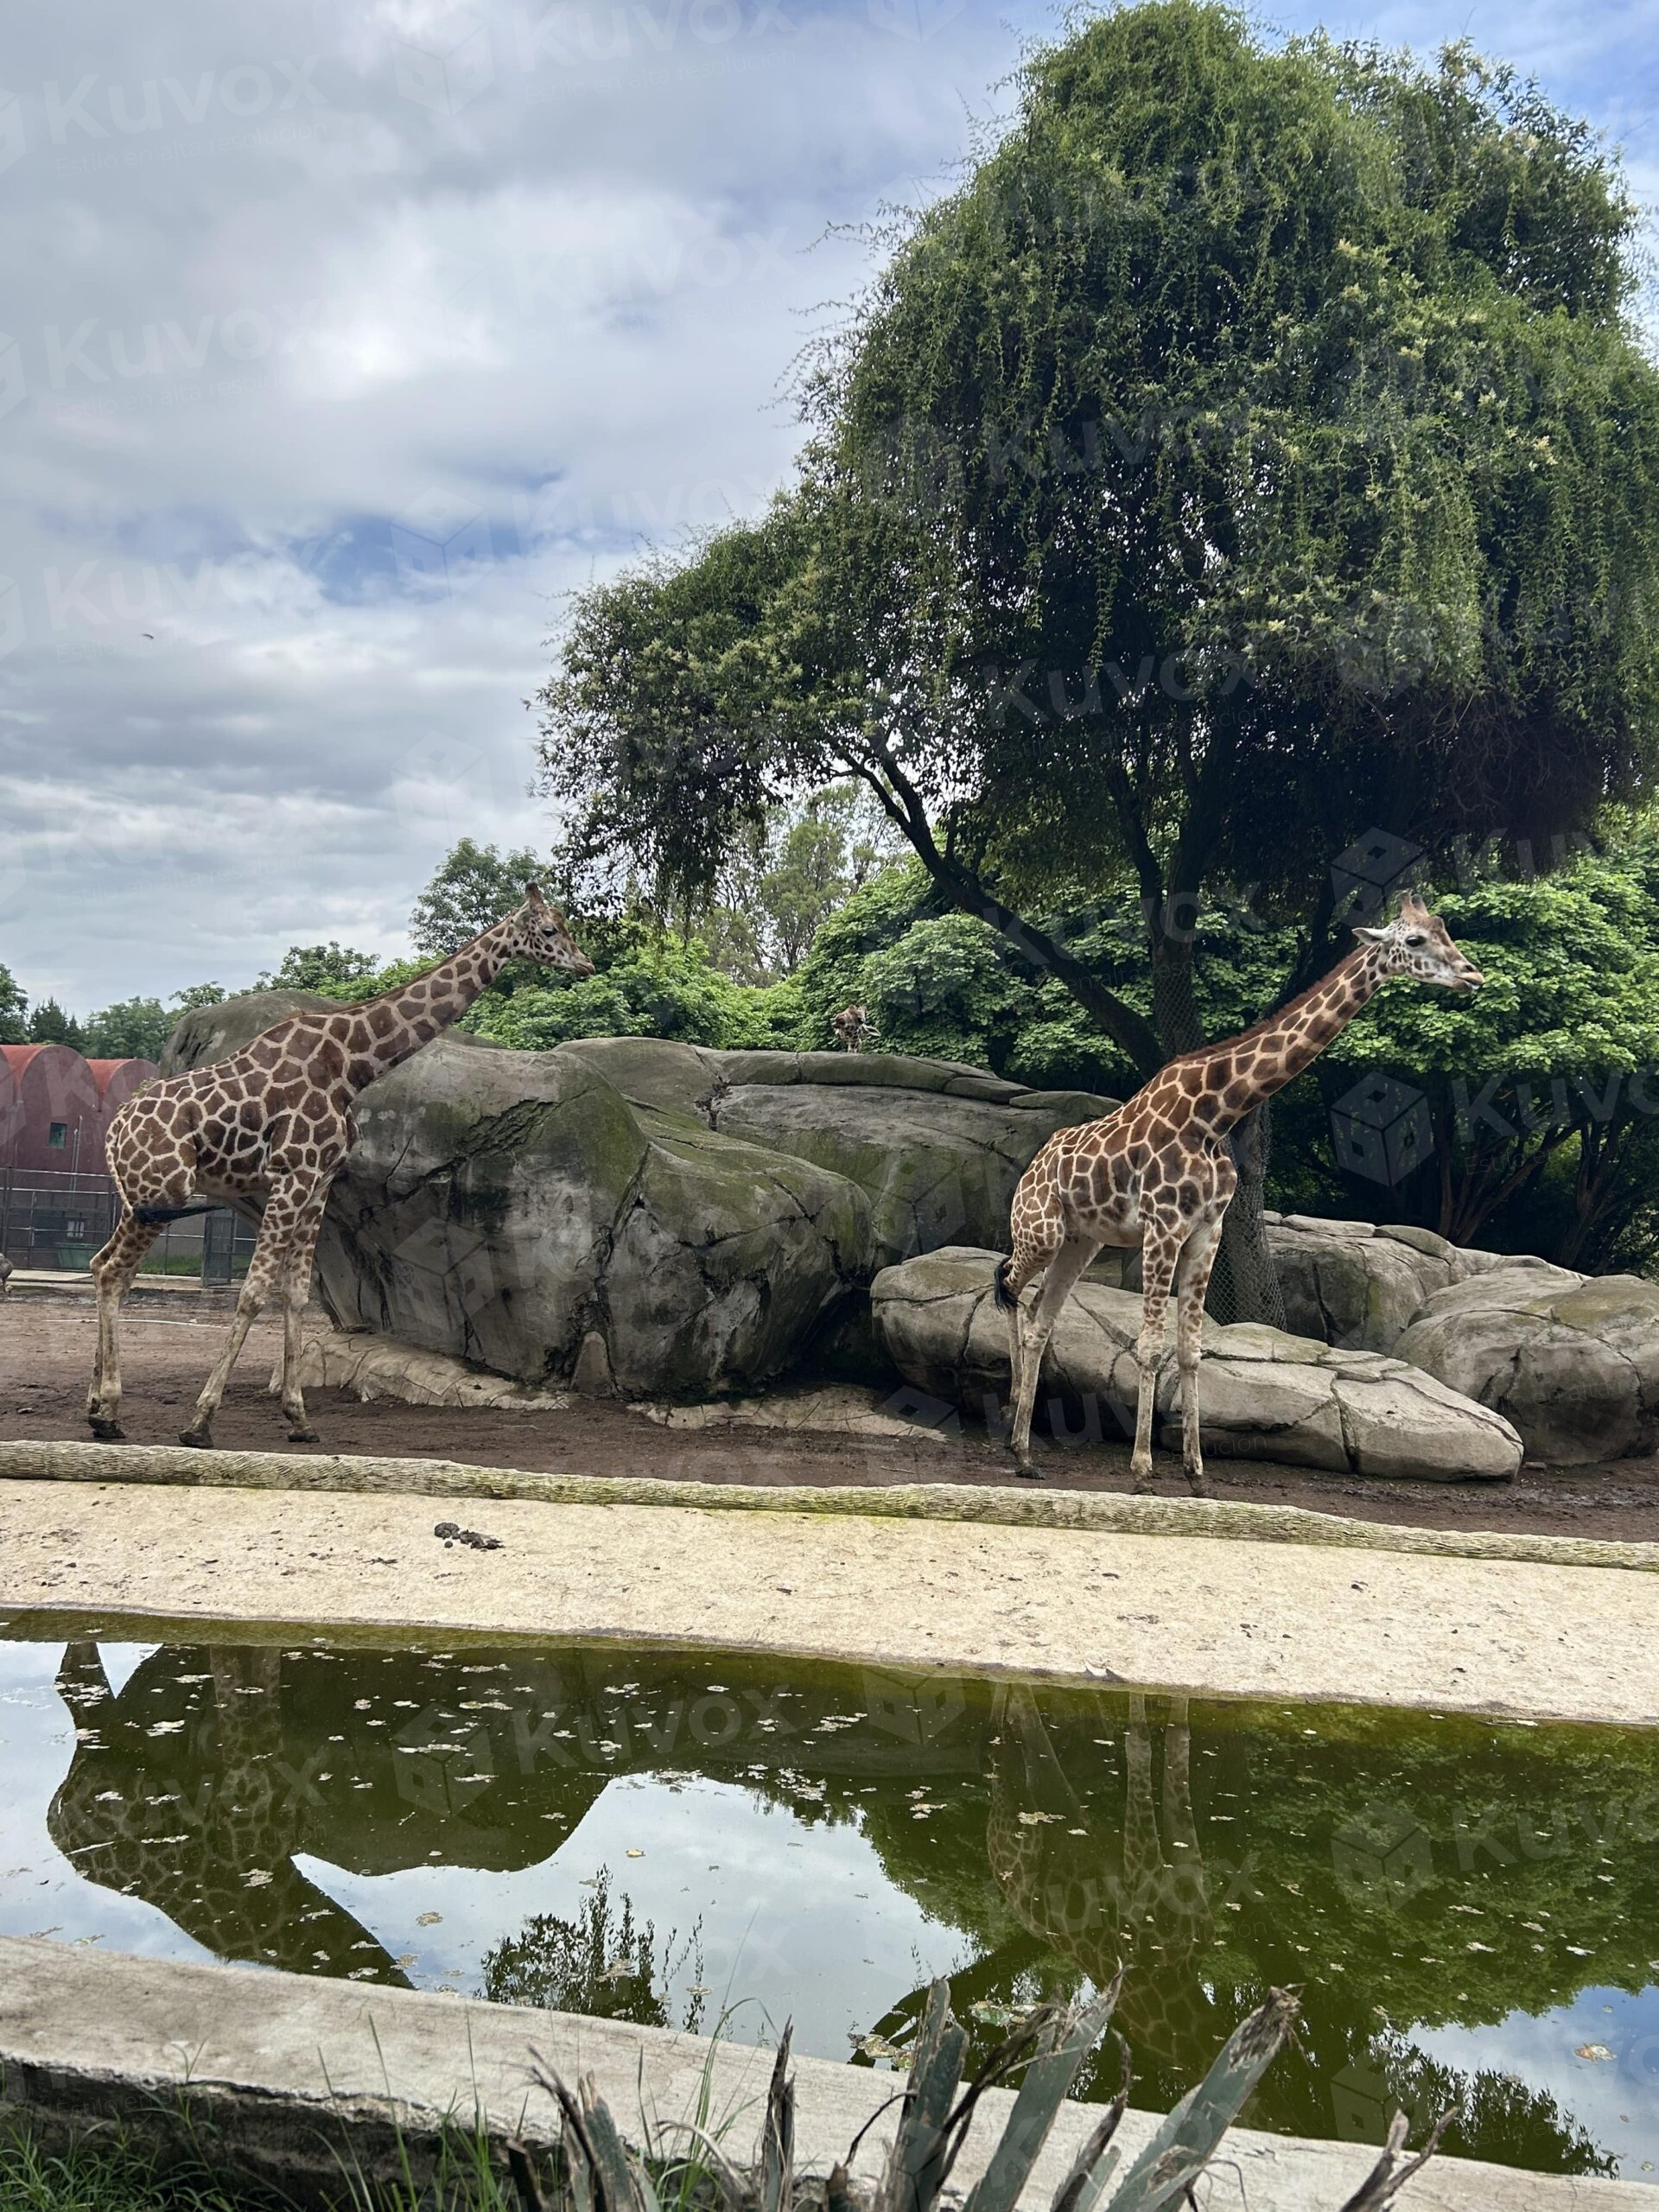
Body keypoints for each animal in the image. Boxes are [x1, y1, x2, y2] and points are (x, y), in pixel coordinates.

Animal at [86, 886, 592, 1448]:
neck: (352, 1066)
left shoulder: (319, 1181)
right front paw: (200, 1421)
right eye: (549, 930)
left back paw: (101, 1409)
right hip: (162, 1192)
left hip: (141, 1198)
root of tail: (113, 1133)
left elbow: (296, 1292)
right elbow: (254, 1292)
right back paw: (107, 1410)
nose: (587, 963)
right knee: (113, 1270)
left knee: (104, 1267)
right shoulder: (292, 1174)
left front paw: (299, 1419)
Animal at [996, 896, 1484, 1485]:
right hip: (1042, 1230)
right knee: (1009, 1287)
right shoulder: (1163, 1225)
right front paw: (1142, 1467)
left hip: (1080, 1241)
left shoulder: (1208, 1229)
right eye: (1414, 941)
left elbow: (1191, 1350)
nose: (1473, 976)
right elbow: (1152, 1346)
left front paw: (1195, 1470)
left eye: (1445, 930)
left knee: (1039, 1316)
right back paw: (1011, 1426)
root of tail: (1030, 1170)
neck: (1216, 1113)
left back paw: (1024, 1452)